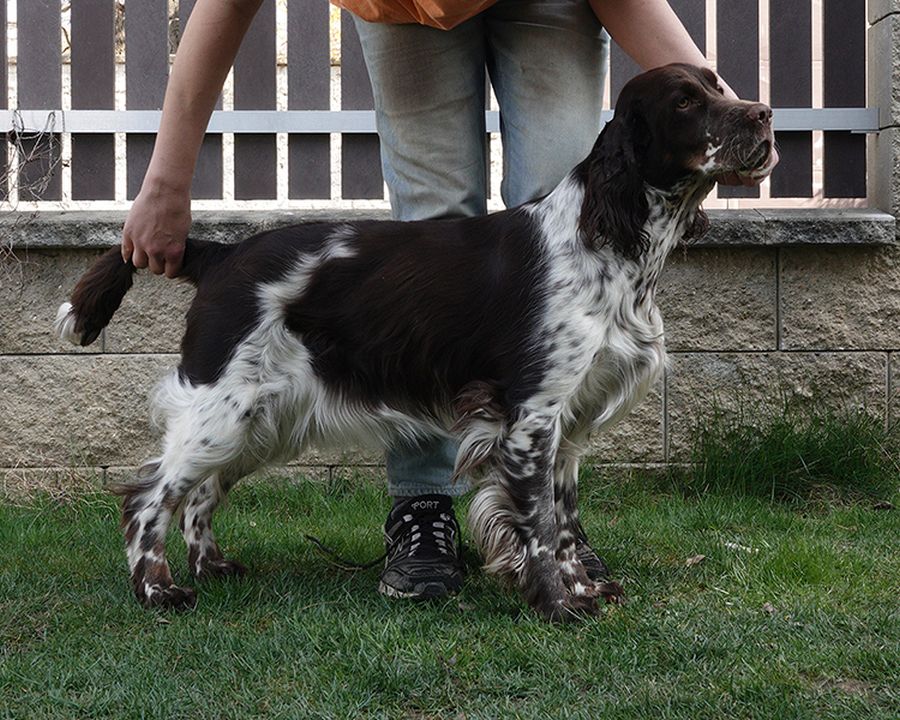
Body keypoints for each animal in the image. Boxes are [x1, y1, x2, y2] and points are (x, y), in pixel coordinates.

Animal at [54, 64, 772, 620]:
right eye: (685, 101)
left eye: (718, 84)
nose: (764, 114)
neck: (607, 241)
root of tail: (221, 254)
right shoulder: (529, 415)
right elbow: (538, 528)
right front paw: (558, 605)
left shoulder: (570, 425)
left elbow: (564, 523)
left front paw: (583, 588)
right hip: (221, 407)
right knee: (149, 498)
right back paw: (158, 591)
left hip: (262, 419)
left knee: (200, 495)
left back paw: (214, 567)